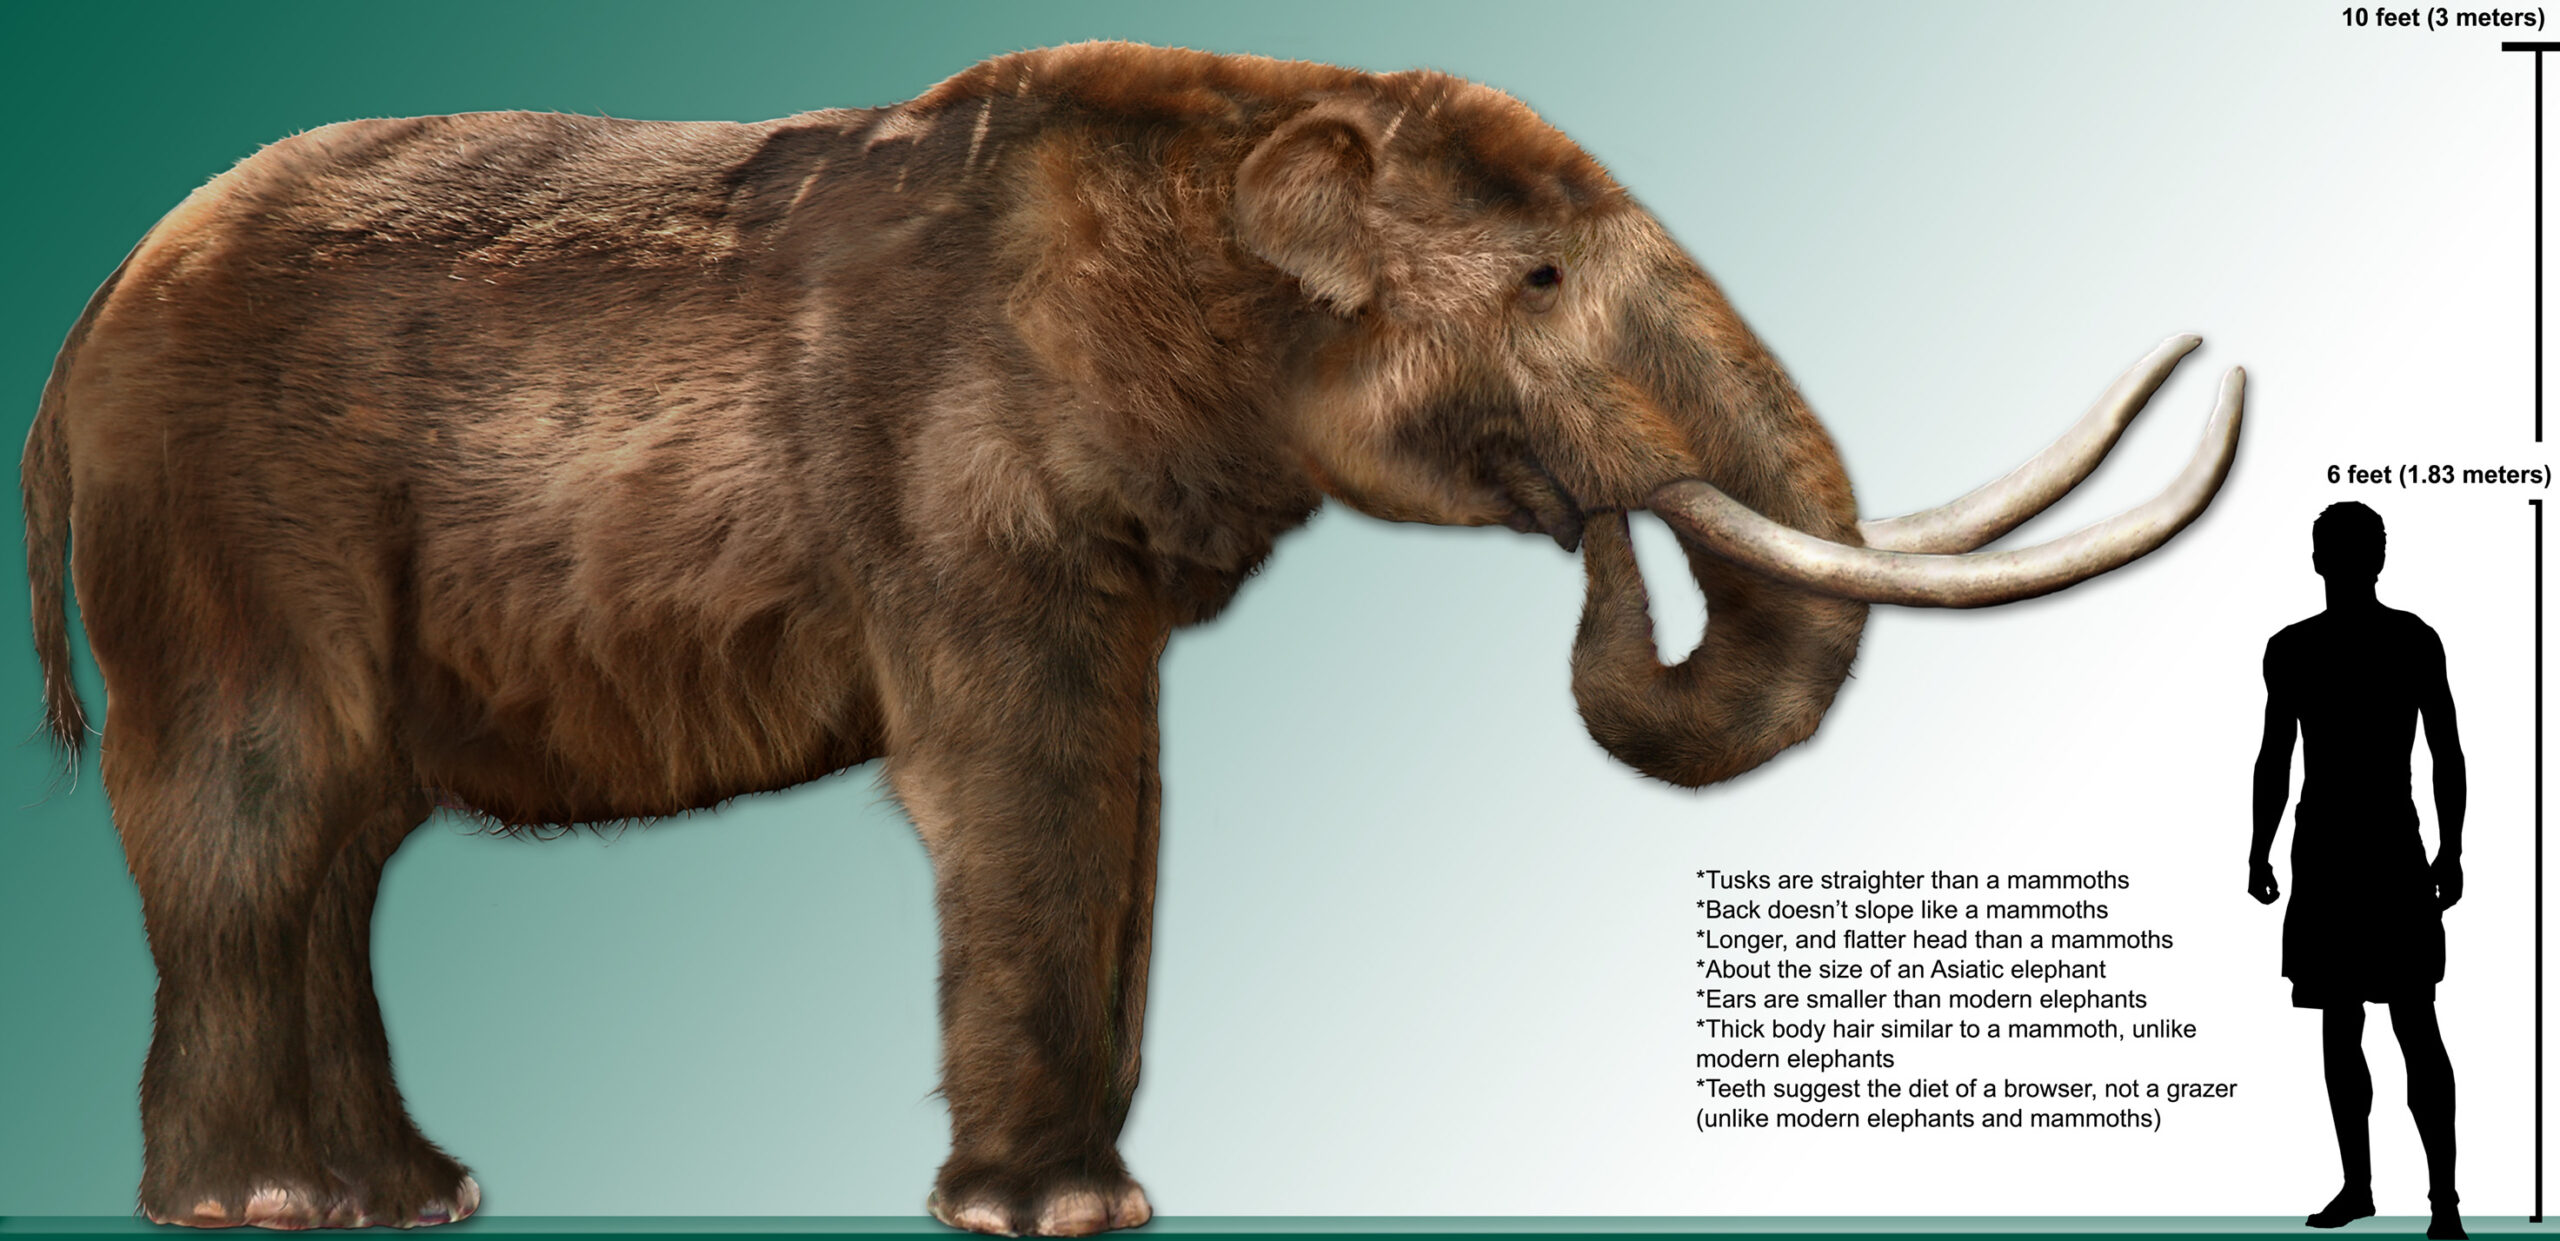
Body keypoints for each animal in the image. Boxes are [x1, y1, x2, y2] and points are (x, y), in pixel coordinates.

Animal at [19, 40, 2241, 1237]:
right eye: (1538, 278)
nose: (1590, 524)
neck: (1261, 114)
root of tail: (78, 334)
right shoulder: (949, 480)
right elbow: (1029, 773)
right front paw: (1060, 1215)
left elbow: (1131, 783)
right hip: (223, 529)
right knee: (257, 821)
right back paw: (265, 1206)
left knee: (332, 850)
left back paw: (411, 1194)